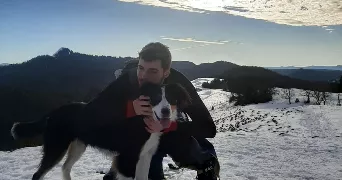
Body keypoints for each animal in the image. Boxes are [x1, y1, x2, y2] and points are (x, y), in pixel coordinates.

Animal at [10, 82, 191, 180]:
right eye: (155, 98)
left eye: (172, 99)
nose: (166, 111)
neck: (142, 118)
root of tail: (53, 112)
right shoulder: (126, 159)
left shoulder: (145, 156)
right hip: (56, 147)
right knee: (38, 174)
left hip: (78, 146)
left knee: (65, 167)